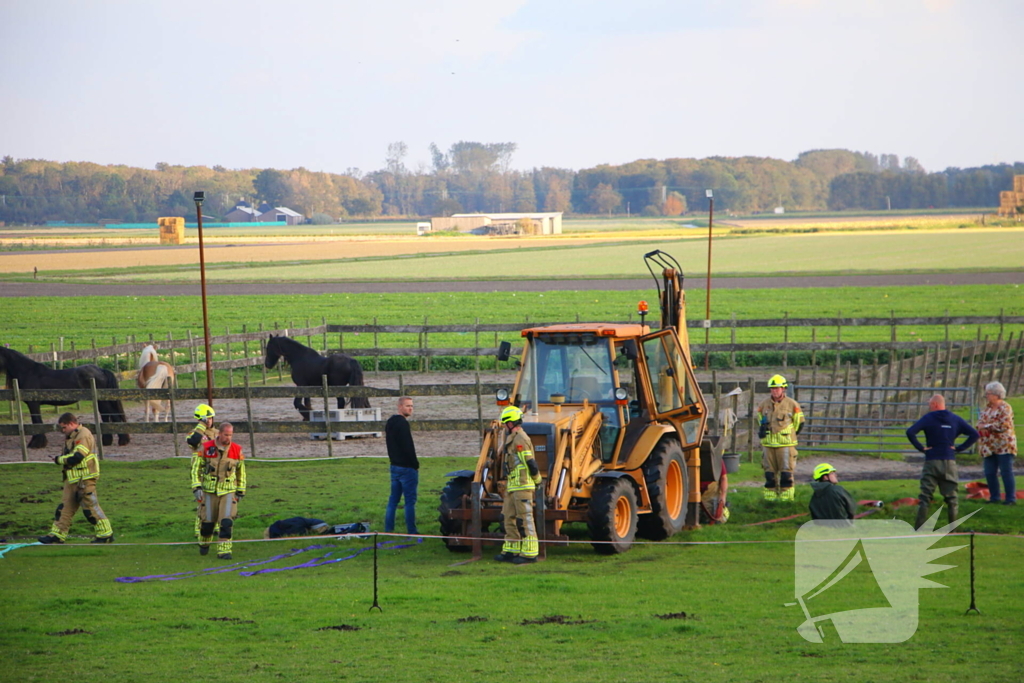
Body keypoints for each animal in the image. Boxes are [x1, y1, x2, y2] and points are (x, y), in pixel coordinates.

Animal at [0, 348, 132, 448]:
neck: (29, 372)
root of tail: (101, 370)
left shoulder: (33, 404)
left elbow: (36, 422)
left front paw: (37, 443)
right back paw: (107, 441)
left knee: (113, 416)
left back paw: (122, 441)